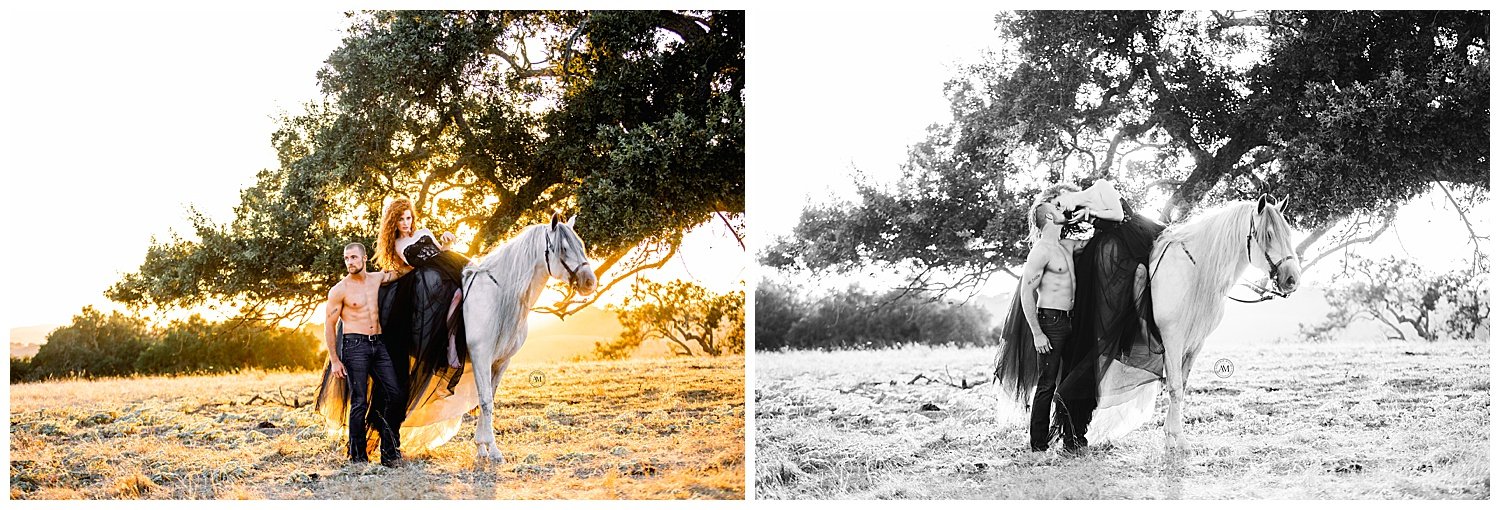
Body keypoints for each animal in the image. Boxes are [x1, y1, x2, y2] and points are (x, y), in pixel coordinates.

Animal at [462, 213, 597, 465]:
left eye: (581, 245)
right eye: (563, 248)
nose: (589, 282)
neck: (497, 296)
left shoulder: (500, 361)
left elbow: (489, 397)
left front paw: (482, 447)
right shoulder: (480, 356)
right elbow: (485, 401)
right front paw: (493, 450)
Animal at [1080, 195, 1302, 450]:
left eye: (1288, 234)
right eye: (1268, 235)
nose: (1292, 279)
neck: (1195, 272)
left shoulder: (1195, 343)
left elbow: (1182, 385)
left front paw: (1172, 436)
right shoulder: (1172, 340)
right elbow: (1175, 387)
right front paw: (1178, 440)